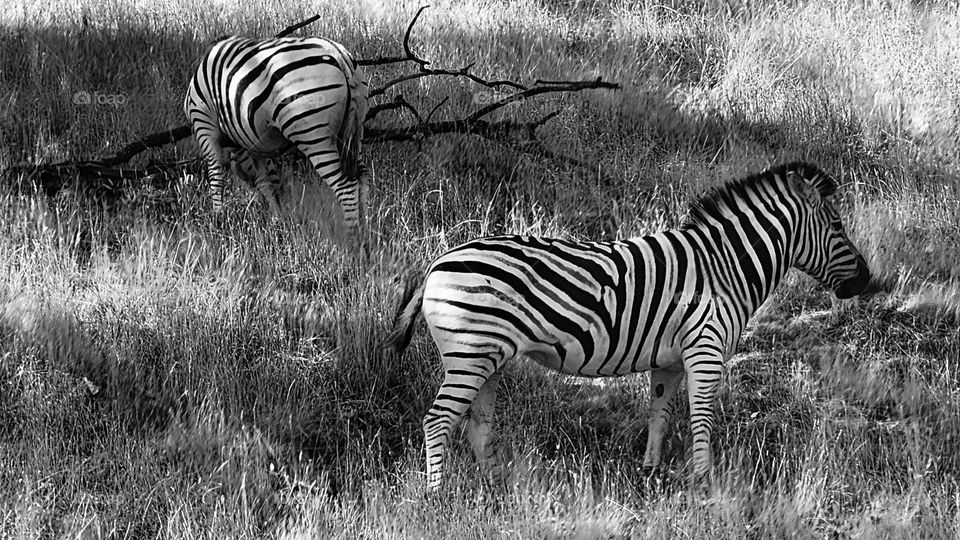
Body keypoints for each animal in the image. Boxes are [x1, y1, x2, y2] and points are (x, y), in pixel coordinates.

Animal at [184, 35, 369, 235]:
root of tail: (337, 53)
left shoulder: (203, 123)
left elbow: (215, 173)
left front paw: (217, 220)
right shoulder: (254, 141)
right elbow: (267, 181)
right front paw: (277, 221)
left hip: (312, 134)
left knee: (345, 186)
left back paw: (352, 235)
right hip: (354, 130)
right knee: (362, 178)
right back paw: (367, 229)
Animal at [388, 161, 871, 490]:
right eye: (837, 225)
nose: (867, 280)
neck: (724, 266)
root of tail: (437, 262)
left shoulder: (670, 361)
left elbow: (659, 415)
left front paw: (651, 473)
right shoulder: (705, 350)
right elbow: (701, 418)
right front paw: (704, 480)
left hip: (488, 356)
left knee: (477, 422)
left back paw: (495, 483)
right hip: (469, 352)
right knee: (438, 420)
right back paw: (438, 494)